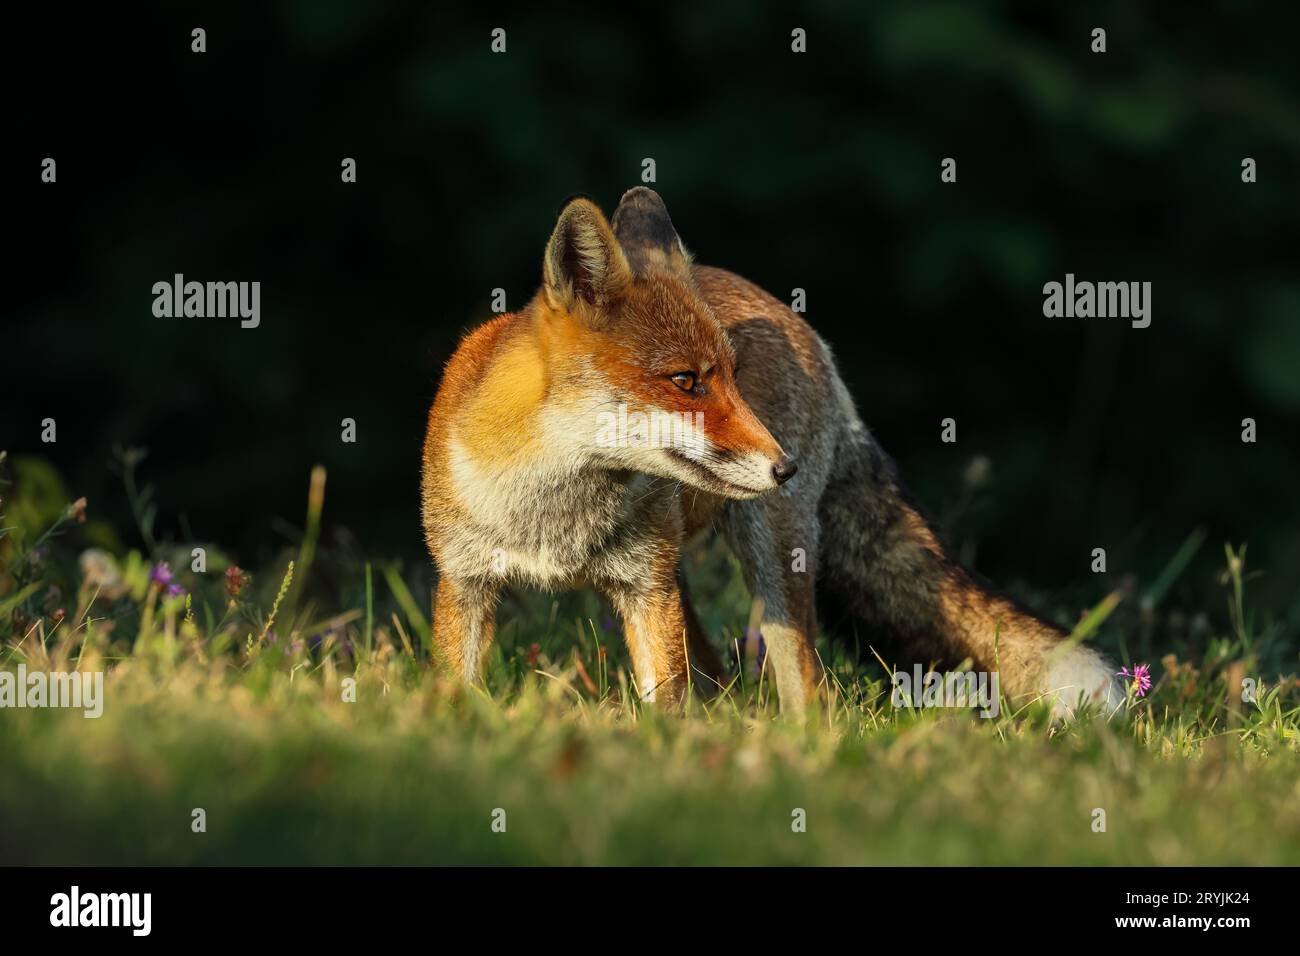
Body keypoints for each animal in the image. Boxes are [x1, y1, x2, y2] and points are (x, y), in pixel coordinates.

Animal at [421, 187, 1123, 717]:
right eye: (686, 381)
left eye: (731, 376)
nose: (785, 466)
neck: (551, 517)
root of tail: (796, 319)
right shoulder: (464, 580)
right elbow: (457, 688)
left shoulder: (645, 588)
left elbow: (664, 701)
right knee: (718, 676)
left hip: (769, 557)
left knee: (806, 687)